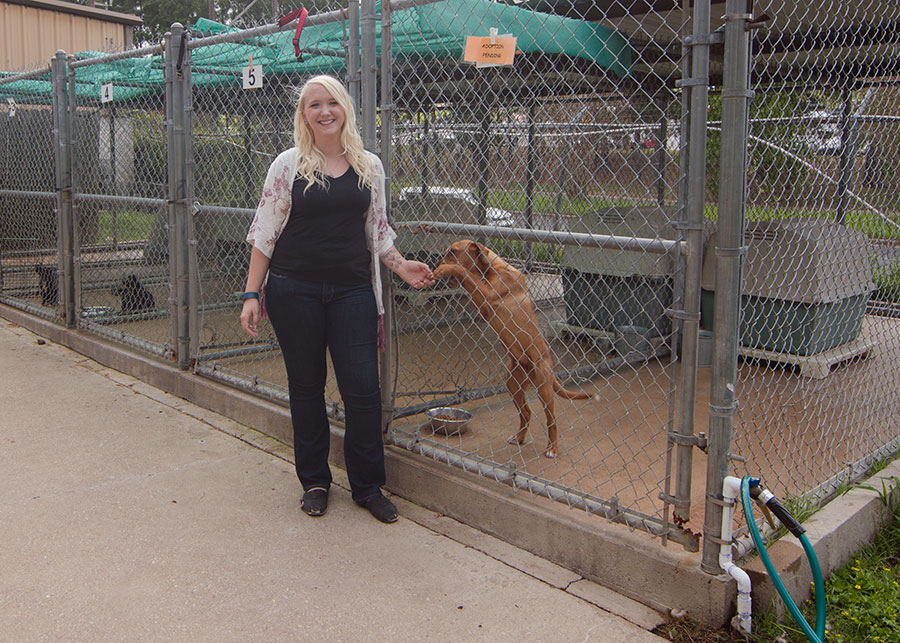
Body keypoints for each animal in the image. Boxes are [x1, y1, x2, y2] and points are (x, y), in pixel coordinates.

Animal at [430, 240, 596, 458]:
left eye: (453, 252)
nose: (437, 263)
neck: (491, 269)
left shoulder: (488, 295)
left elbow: (463, 271)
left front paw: (447, 269)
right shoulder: (483, 305)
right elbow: (469, 278)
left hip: (544, 389)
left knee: (551, 420)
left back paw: (552, 448)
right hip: (513, 384)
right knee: (526, 412)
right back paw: (519, 438)